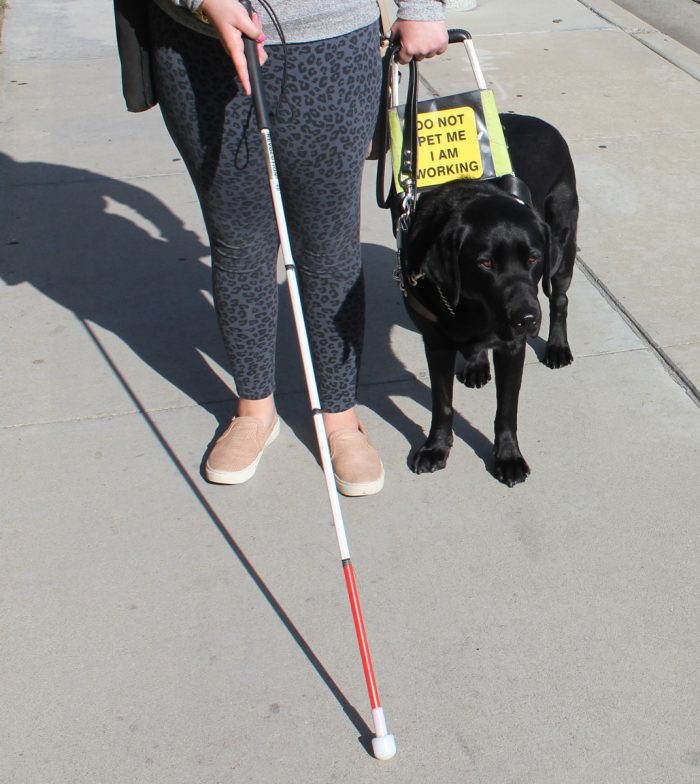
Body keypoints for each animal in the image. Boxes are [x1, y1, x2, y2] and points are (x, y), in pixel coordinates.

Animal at [402, 114, 576, 486]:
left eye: (533, 258)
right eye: (484, 264)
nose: (527, 320)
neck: (471, 308)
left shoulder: (513, 345)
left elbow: (506, 409)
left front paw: (508, 457)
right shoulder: (436, 341)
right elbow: (442, 403)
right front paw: (436, 448)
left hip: (563, 246)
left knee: (560, 300)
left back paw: (557, 347)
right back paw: (477, 364)